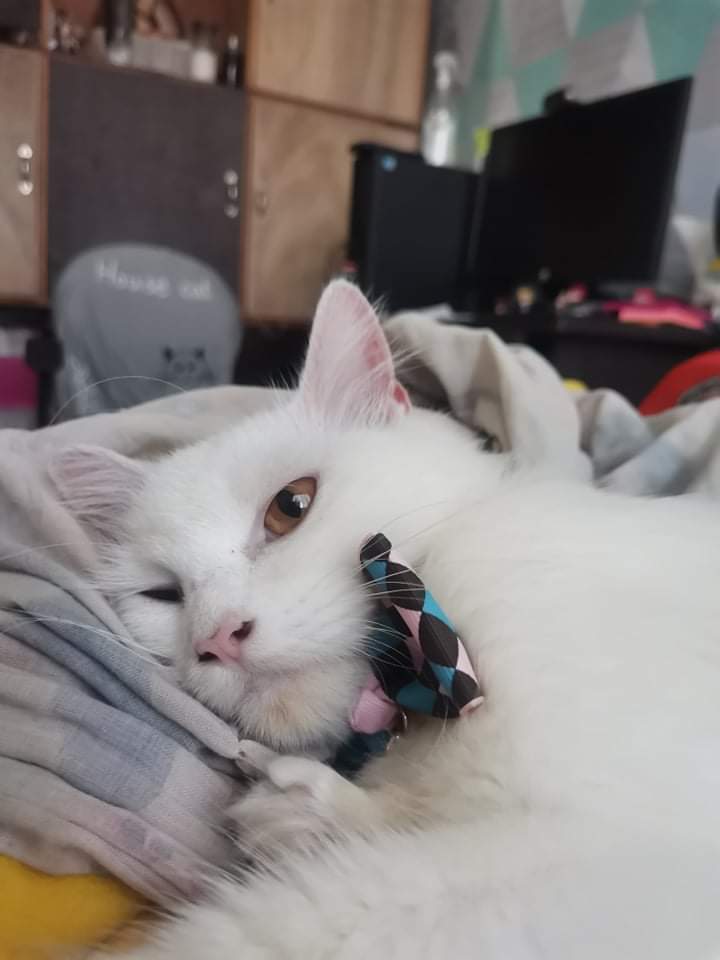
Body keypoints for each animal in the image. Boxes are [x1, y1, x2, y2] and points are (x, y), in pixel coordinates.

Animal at [52, 281, 720, 959]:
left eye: (291, 506)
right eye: (162, 594)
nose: (218, 637)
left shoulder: (599, 854)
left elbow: (272, 922)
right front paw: (302, 815)